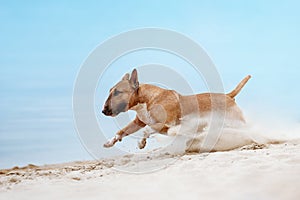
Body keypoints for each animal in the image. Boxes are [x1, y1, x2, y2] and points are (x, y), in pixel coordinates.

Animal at [102, 69, 252, 150]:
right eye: (110, 91)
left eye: (117, 92)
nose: (103, 111)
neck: (147, 99)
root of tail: (228, 96)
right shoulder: (138, 122)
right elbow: (122, 131)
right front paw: (110, 142)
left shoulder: (167, 123)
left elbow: (147, 130)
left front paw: (141, 142)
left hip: (234, 121)